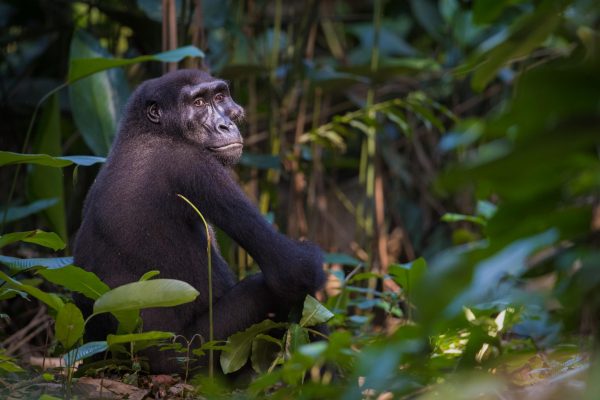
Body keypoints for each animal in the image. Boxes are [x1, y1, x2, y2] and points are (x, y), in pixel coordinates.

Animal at [75, 68, 328, 372]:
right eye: (198, 104)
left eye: (219, 97)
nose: (225, 125)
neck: (149, 131)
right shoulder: (195, 165)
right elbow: (292, 270)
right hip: (187, 359)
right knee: (266, 291)